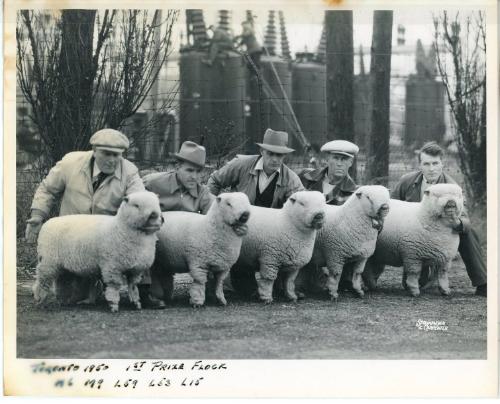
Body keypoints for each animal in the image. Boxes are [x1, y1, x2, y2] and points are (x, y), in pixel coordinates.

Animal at [33, 190, 162, 312]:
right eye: (136, 205)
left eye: (157, 204)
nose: (154, 214)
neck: (120, 228)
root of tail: (48, 223)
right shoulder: (112, 267)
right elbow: (114, 286)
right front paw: (114, 305)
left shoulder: (135, 270)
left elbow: (133, 286)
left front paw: (136, 303)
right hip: (48, 261)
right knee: (43, 281)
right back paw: (40, 299)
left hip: (63, 265)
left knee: (63, 280)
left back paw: (64, 300)